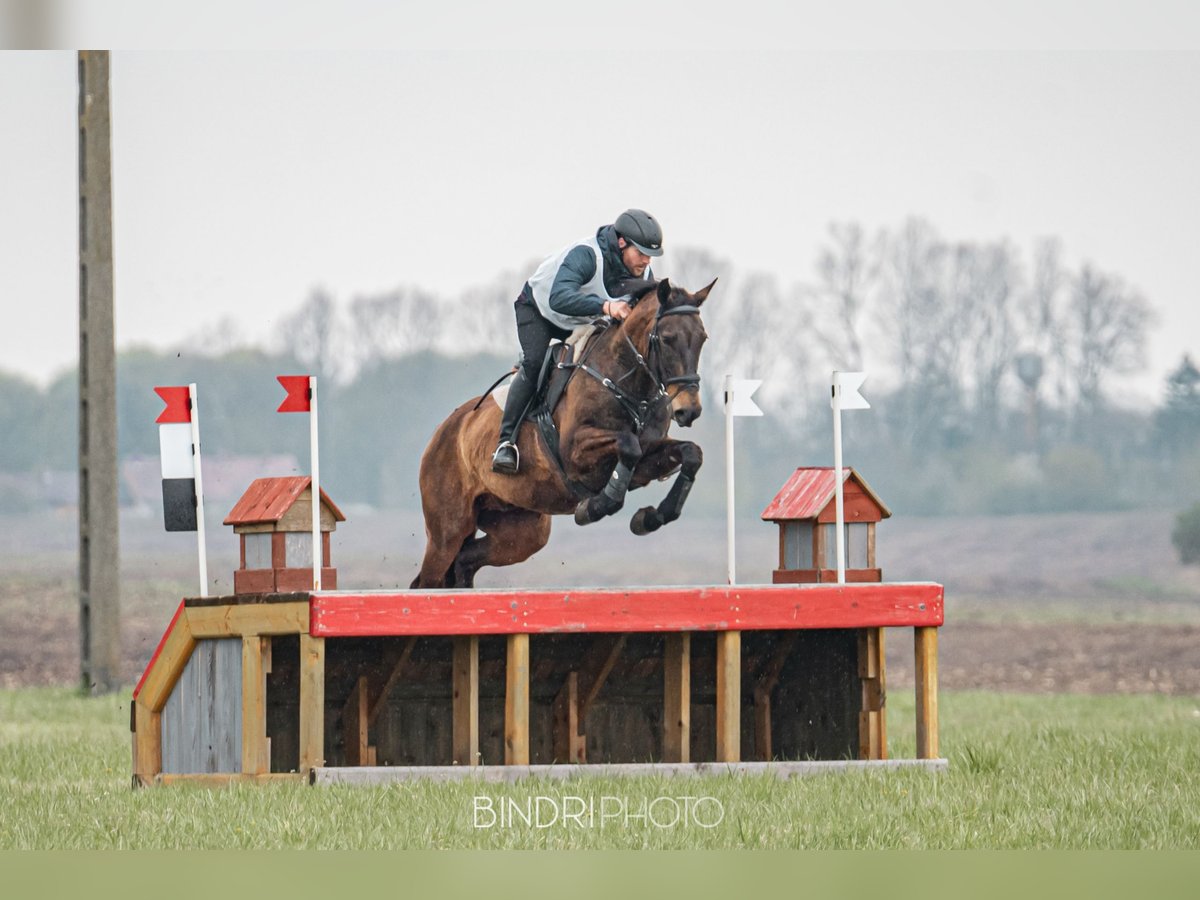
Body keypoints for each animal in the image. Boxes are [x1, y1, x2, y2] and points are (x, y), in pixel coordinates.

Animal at [412, 280, 710, 592]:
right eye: (666, 338)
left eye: (702, 338)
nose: (689, 410)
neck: (622, 380)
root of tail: (444, 431)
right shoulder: (576, 454)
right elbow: (628, 446)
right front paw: (594, 507)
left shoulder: (645, 461)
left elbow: (691, 453)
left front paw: (651, 517)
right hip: (448, 530)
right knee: (432, 576)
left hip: (521, 531)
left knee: (465, 561)